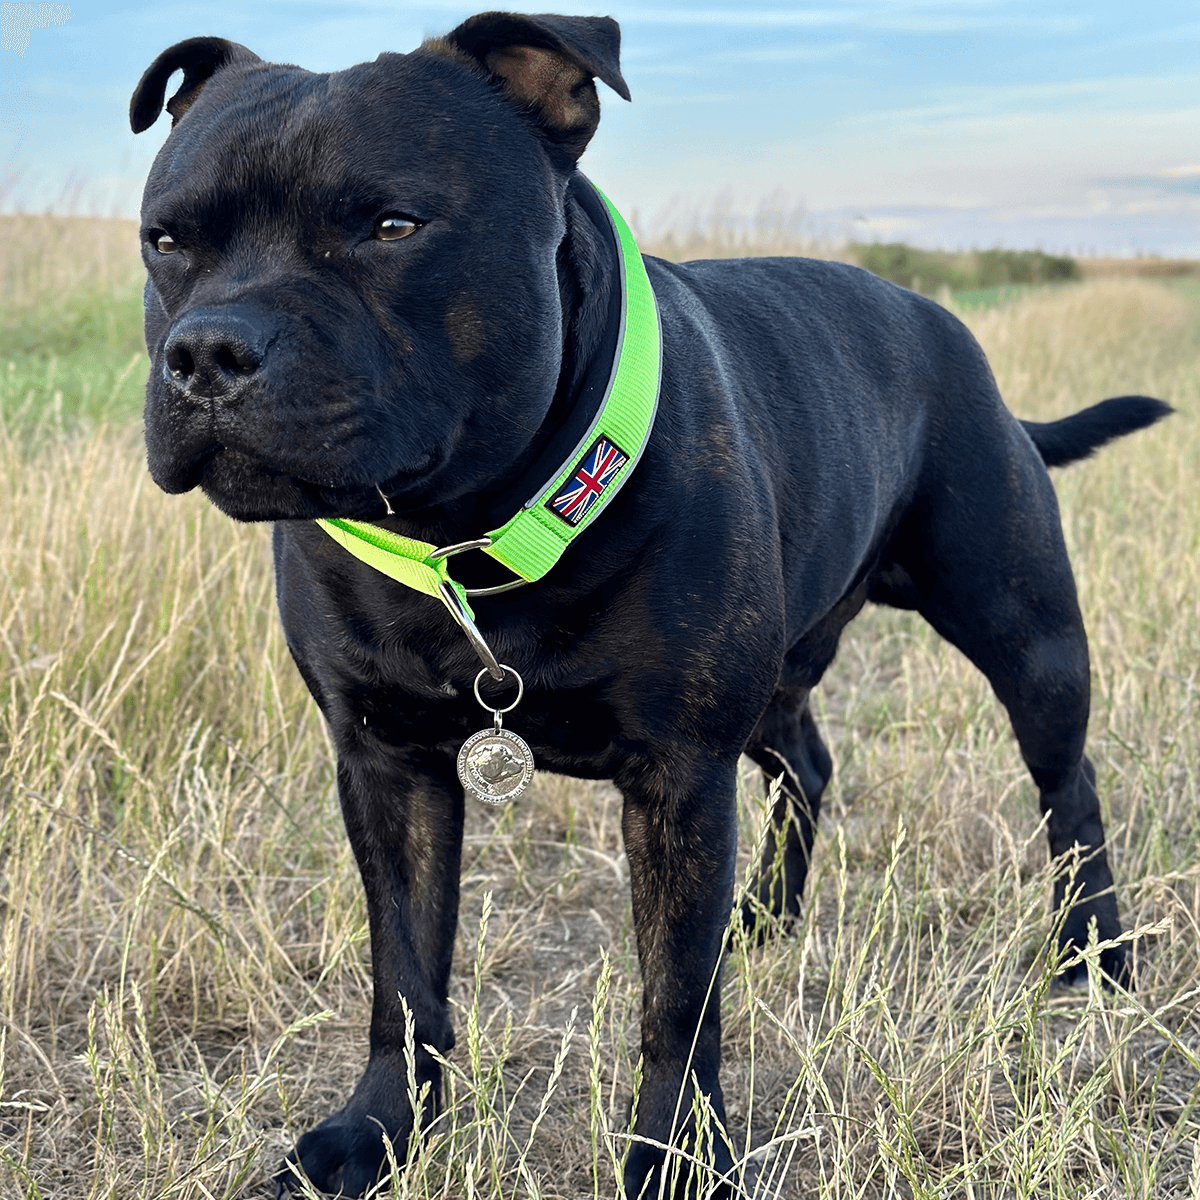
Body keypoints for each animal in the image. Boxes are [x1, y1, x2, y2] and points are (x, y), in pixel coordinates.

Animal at [133, 11, 1171, 1200]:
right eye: (166, 240)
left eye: (391, 226)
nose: (207, 350)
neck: (469, 538)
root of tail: (941, 321)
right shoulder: (386, 766)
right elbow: (404, 971)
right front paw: (380, 1129)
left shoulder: (679, 775)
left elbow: (676, 996)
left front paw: (677, 1153)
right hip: (780, 677)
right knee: (809, 762)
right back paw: (765, 918)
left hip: (1026, 635)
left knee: (1068, 791)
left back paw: (1091, 955)